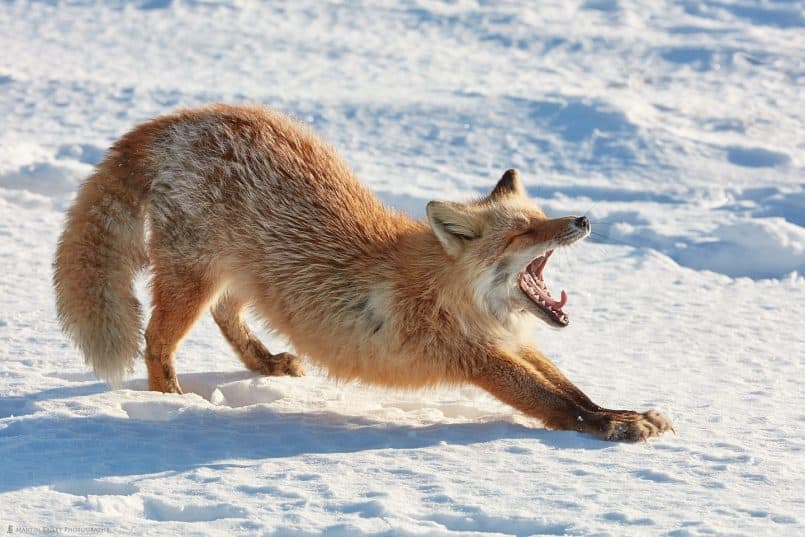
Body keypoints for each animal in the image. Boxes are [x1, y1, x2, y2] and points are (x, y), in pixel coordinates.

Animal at [53, 103, 672, 440]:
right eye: (522, 233)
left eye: (542, 217)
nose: (583, 220)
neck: (454, 294)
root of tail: (177, 119)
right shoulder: (474, 355)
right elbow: (557, 405)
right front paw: (613, 429)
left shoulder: (512, 342)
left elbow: (574, 390)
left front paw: (624, 413)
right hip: (193, 277)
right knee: (156, 339)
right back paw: (171, 404)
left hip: (242, 277)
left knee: (227, 316)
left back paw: (264, 363)